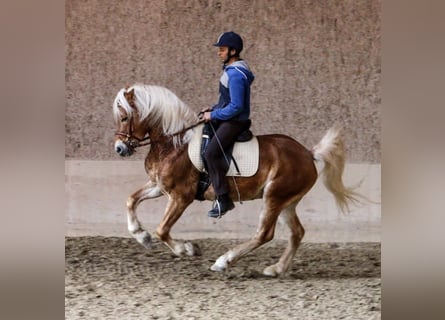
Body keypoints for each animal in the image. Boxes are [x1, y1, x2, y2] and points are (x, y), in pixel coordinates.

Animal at [112, 84, 360, 276]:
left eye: (124, 118)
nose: (120, 149)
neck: (174, 143)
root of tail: (308, 154)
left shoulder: (181, 196)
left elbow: (162, 229)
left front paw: (188, 250)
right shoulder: (159, 186)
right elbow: (130, 200)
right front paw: (141, 236)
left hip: (274, 197)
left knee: (264, 234)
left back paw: (224, 261)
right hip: (286, 202)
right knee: (296, 232)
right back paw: (276, 269)